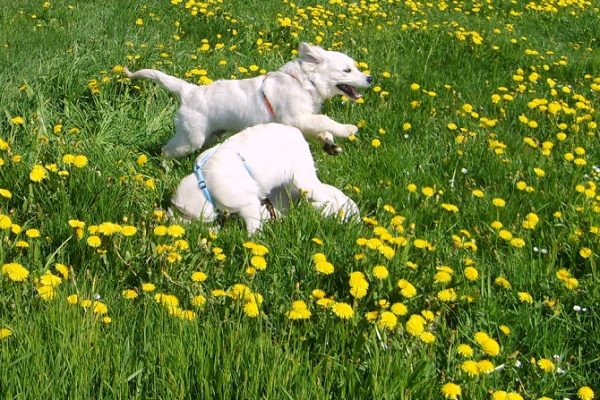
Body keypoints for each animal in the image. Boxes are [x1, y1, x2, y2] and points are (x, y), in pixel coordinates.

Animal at [125, 42, 372, 158]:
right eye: (347, 70)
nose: (370, 78)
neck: (303, 82)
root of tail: (189, 91)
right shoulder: (295, 118)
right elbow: (324, 119)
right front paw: (347, 129)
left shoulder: (303, 119)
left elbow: (321, 126)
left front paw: (330, 144)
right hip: (191, 138)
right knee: (166, 150)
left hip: (209, 136)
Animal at [171, 122, 360, 234]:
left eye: (185, 213)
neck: (204, 183)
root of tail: (296, 131)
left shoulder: (247, 203)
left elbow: (253, 226)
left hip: (304, 180)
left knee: (325, 197)